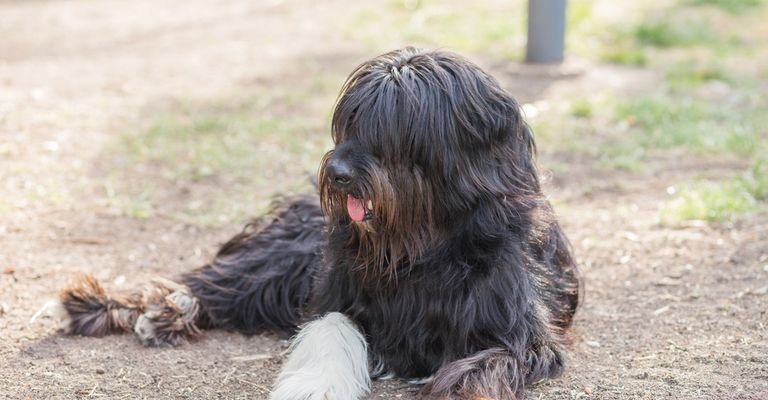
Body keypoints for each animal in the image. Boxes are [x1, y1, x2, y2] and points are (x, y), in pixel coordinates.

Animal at [57, 47, 580, 400]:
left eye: (397, 128)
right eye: (351, 121)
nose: (339, 173)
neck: (421, 246)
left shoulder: (520, 330)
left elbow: (491, 360)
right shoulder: (336, 292)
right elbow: (331, 329)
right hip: (282, 261)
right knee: (214, 282)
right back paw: (128, 305)